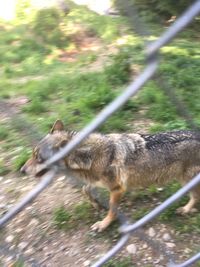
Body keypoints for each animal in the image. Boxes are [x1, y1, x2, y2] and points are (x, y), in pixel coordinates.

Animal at [21, 121, 200, 232]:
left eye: (39, 158)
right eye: (32, 154)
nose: (22, 170)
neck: (91, 156)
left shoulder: (117, 189)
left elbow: (113, 211)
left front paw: (104, 224)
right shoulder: (96, 181)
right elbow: (85, 189)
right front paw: (96, 205)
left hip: (186, 180)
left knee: (195, 197)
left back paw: (185, 209)